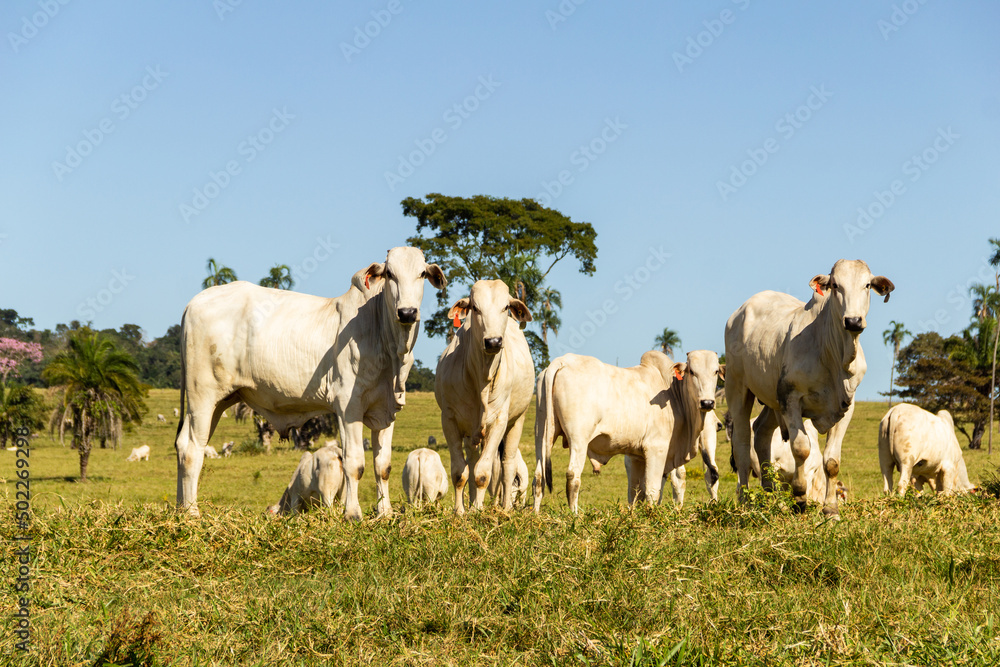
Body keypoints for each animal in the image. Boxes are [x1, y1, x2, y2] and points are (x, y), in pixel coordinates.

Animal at [175, 247, 446, 520]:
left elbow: (383, 466)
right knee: (192, 449)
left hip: (220, 400)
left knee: (182, 444)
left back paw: (180, 508)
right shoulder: (348, 407)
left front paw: (385, 513)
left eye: (422, 273)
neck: (385, 338)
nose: (407, 312)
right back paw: (192, 512)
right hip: (202, 396)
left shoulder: (386, 411)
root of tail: (194, 303)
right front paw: (353, 513)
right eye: (390, 273)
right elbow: (354, 463)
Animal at [434, 280, 536, 516]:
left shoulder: (498, 422)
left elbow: (482, 473)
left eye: (505, 307)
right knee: (471, 461)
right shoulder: (449, 420)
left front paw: (479, 510)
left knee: (507, 465)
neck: (480, 378)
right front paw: (461, 511)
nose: (493, 341)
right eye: (475, 308)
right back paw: (472, 503)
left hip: (517, 421)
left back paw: (505, 507)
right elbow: (460, 472)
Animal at [536, 348, 724, 516]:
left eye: (715, 371)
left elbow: (636, 493)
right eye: (692, 371)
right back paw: (574, 516)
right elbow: (652, 490)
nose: (707, 403)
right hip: (579, 439)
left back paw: (536, 516)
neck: (674, 394)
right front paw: (651, 516)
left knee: (539, 476)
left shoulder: (636, 456)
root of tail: (562, 361)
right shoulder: (657, 449)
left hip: (544, 435)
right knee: (573, 476)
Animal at [724, 258, 896, 516]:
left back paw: (769, 494)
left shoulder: (847, 405)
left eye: (867, 285)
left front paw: (831, 509)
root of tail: (739, 312)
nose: (853, 321)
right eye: (835, 285)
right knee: (743, 442)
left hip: (771, 400)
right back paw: (746, 501)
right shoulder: (790, 398)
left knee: (762, 432)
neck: (834, 356)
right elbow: (801, 448)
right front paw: (800, 496)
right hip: (738, 388)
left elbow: (832, 461)